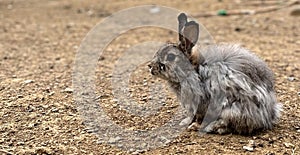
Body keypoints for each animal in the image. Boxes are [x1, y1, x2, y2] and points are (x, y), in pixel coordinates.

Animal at [149, 13, 282, 134]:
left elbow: (196, 116)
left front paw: (187, 123)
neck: (192, 70)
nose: (150, 66)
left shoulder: (198, 103)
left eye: (171, 56)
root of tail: (267, 116)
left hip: (230, 109)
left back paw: (206, 127)